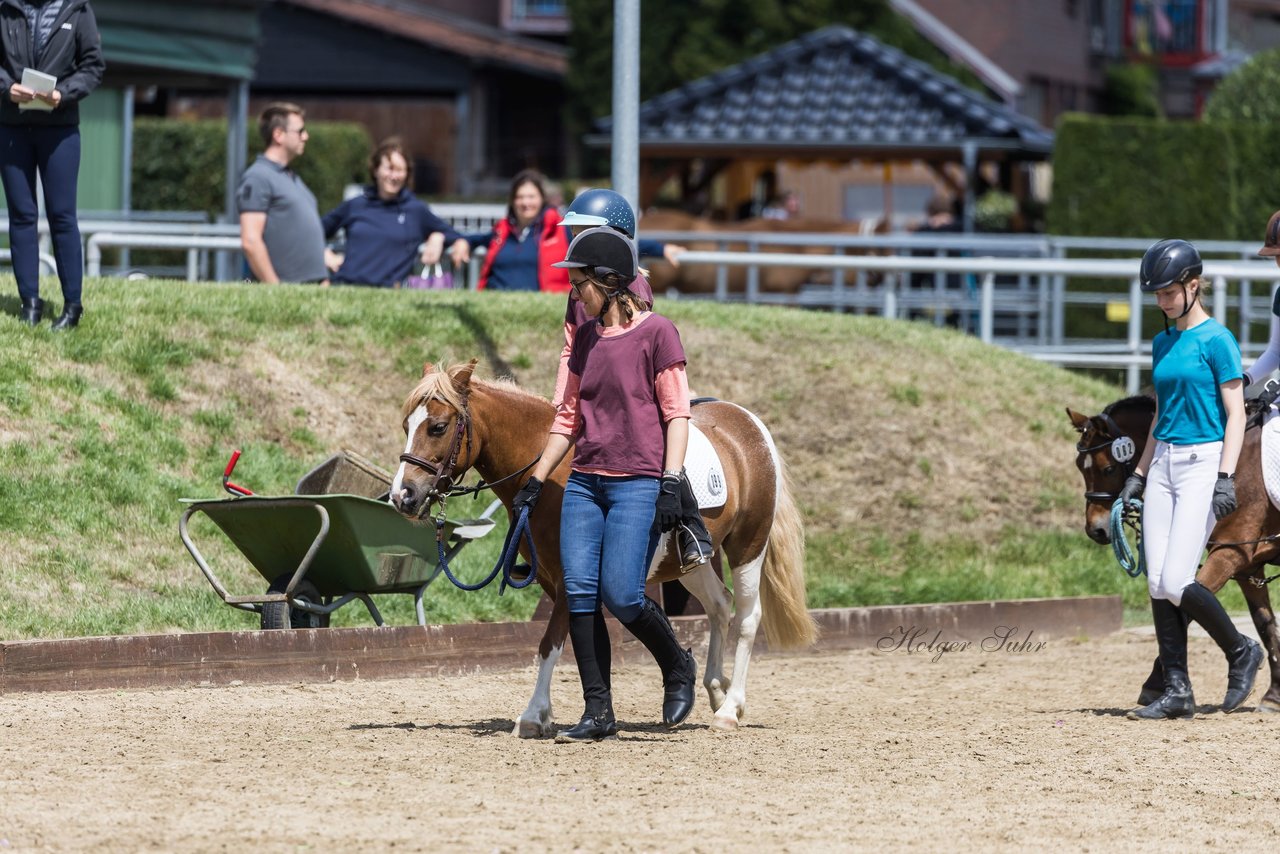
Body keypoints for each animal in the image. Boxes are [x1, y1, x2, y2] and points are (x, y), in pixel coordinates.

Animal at [386, 361, 819, 737]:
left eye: (439, 427)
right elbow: (587, 641)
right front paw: (592, 719)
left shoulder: (569, 578)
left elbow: (550, 643)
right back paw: (714, 689)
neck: (552, 470)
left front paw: (533, 716)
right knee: (718, 606)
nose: (402, 496)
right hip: (690, 563)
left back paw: (729, 709)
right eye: (407, 425)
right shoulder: (562, 580)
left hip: (748, 546)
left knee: (747, 617)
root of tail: (749, 424)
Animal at [1070, 396, 1280, 711]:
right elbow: (1266, 626)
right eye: (1080, 467)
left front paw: (1155, 685)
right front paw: (1273, 696)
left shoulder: (1229, 553)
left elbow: (1186, 606)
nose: (1096, 530)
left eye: (1108, 469)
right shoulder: (1247, 566)